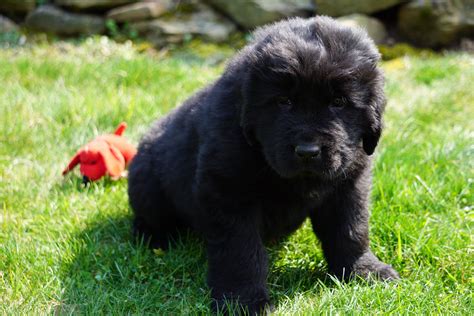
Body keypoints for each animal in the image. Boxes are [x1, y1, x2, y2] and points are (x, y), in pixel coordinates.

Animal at [128, 16, 398, 314]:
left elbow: (351, 229)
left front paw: (364, 271)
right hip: (148, 184)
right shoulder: (227, 190)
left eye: (338, 102)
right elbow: (241, 251)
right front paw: (242, 300)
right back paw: (156, 239)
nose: (307, 152)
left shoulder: (349, 183)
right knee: (146, 216)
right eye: (283, 101)